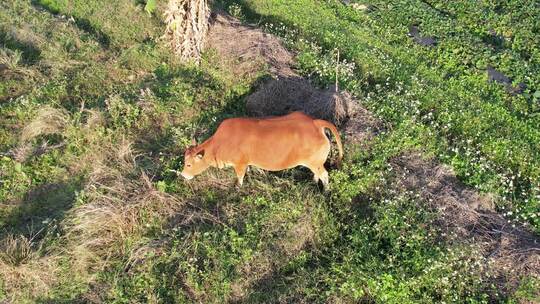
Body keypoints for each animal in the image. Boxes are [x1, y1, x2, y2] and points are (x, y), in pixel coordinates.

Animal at [181, 110, 342, 189]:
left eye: (188, 164)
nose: (183, 175)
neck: (219, 144)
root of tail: (315, 123)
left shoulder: (239, 164)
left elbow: (240, 178)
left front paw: (237, 188)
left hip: (315, 163)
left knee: (325, 175)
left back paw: (326, 191)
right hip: (315, 163)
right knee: (318, 174)